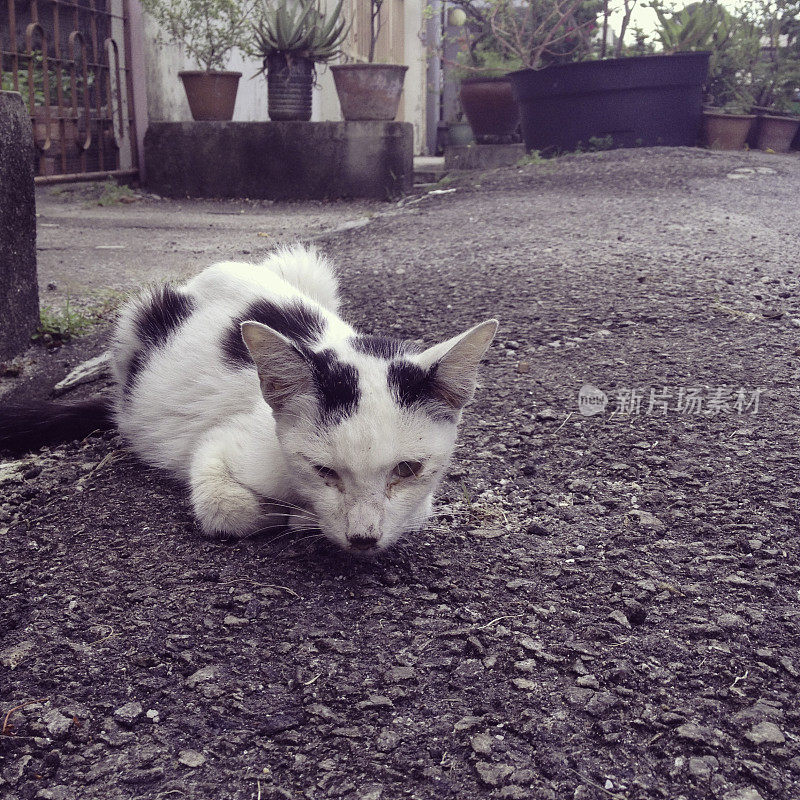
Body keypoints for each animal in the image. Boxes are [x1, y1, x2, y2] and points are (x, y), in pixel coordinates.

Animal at [0, 247, 496, 552]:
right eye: (324, 471)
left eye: (407, 469)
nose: (362, 538)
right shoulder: (217, 448)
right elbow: (228, 508)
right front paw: (293, 518)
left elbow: (417, 510)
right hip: (133, 325)